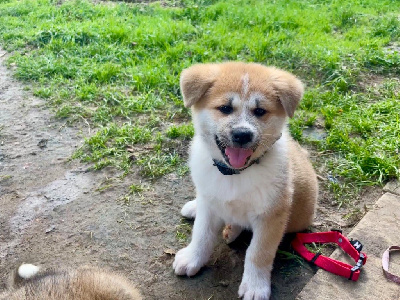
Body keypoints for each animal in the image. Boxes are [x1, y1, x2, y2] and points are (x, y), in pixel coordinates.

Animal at [173, 62, 318, 298]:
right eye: (225, 108)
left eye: (260, 111)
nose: (242, 134)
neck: (235, 174)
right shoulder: (209, 203)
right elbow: (202, 234)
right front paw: (192, 258)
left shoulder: (272, 215)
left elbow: (258, 252)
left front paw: (255, 286)